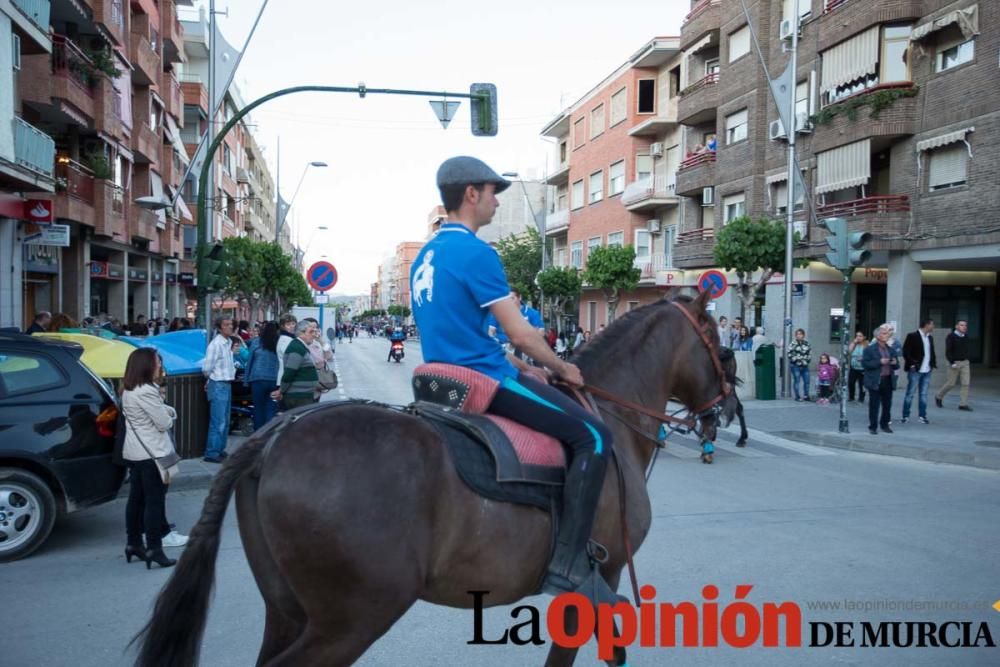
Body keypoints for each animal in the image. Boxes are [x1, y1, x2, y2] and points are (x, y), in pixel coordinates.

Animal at [133, 294, 740, 667]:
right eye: (719, 343)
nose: (727, 411)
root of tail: (278, 433)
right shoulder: (604, 576)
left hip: (288, 610)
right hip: (351, 619)